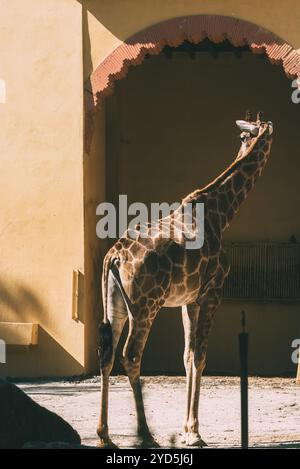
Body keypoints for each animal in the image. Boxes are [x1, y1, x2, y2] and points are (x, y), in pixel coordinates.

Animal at [97, 111, 274, 448]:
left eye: (245, 135)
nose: (253, 141)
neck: (221, 213)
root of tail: (113, 257)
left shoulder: (188, 300)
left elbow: (187, 356)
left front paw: (187, 429)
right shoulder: (213, 292)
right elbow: (201, 357)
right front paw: (194, 433)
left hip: (113, 303)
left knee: (107, 354)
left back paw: (104, 436)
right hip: (145, 306)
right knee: (131, 355)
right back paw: (146, 434)